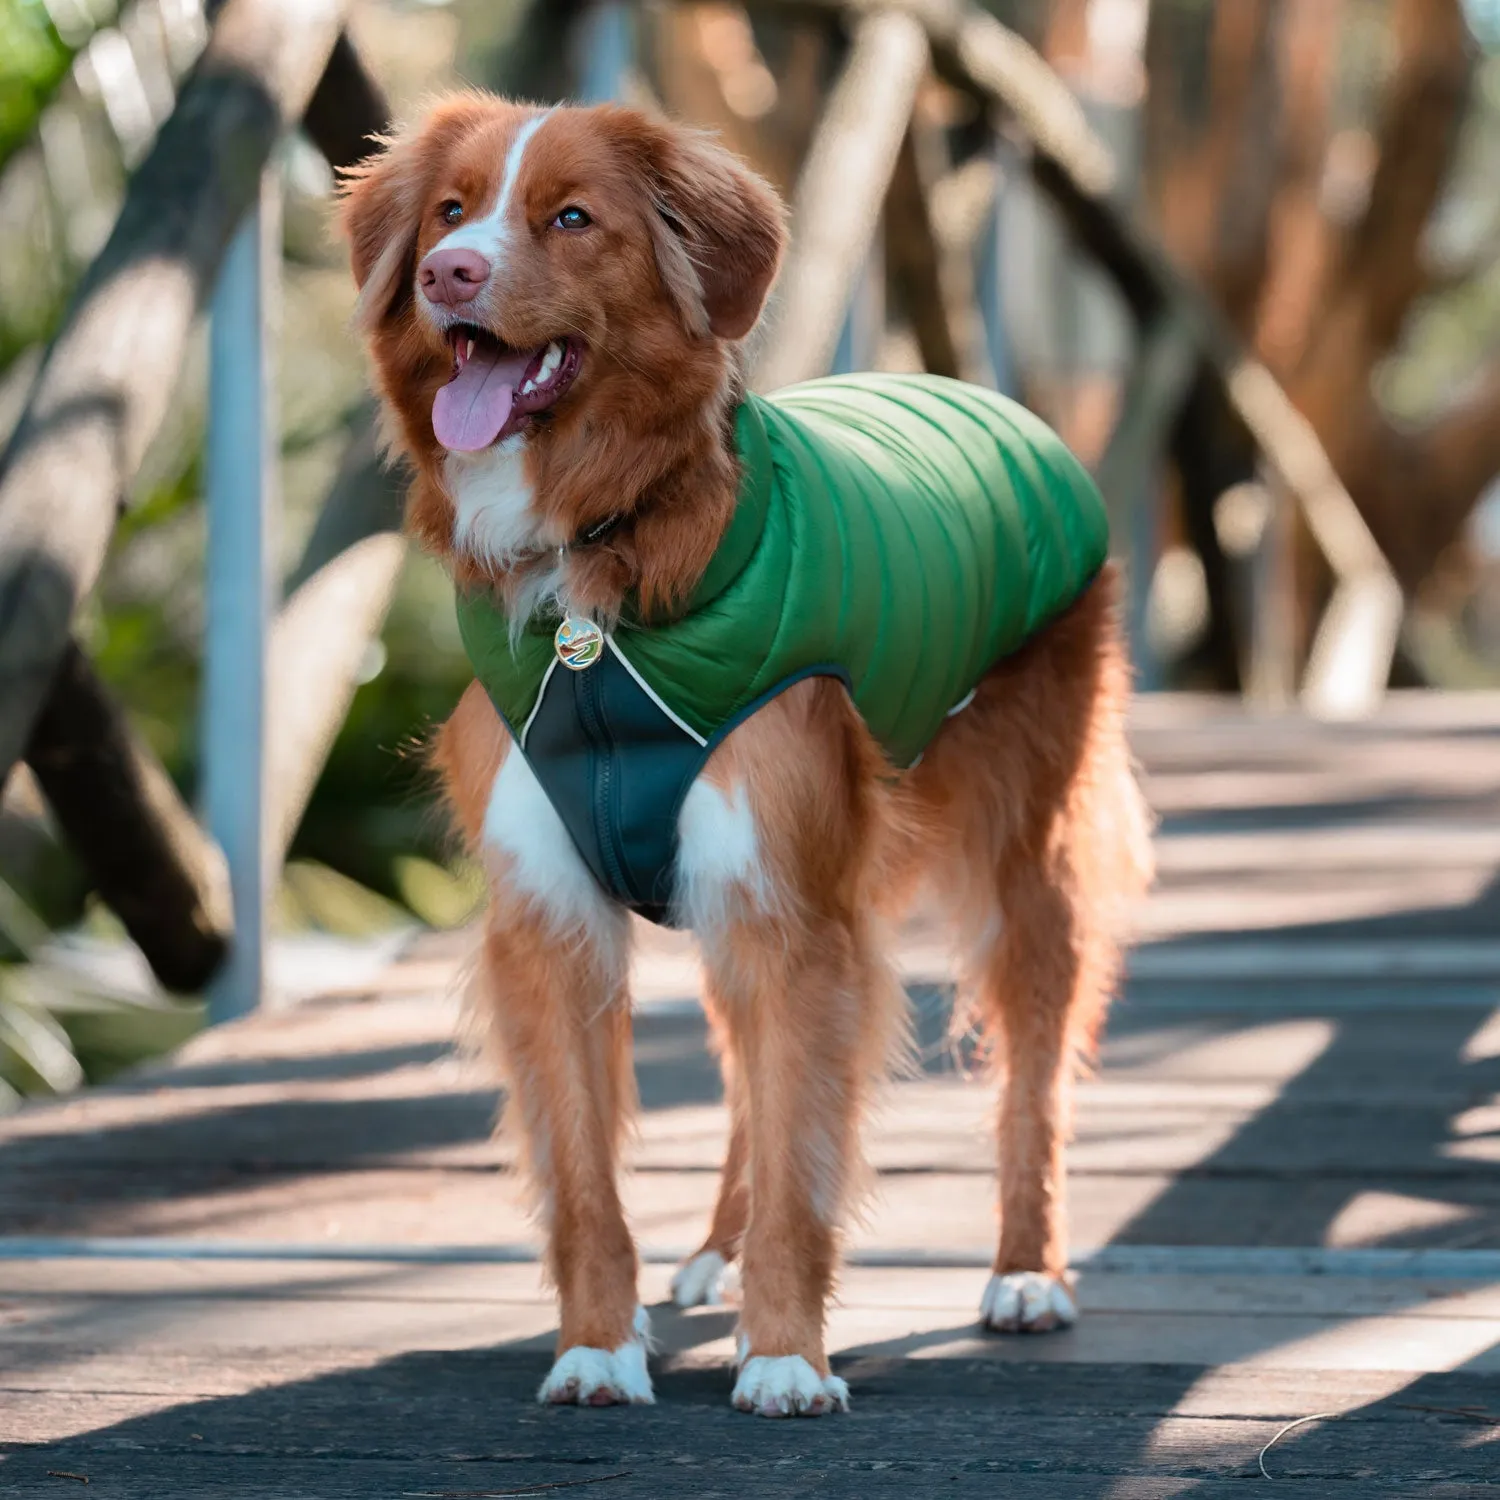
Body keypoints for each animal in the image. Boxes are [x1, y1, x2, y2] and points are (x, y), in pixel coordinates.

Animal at [343, 96, 1146, 1416]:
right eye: (452, 211)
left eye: (572, 218)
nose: (445, 272)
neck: (597, 577)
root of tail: (989, 399)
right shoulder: (555, 916)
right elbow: (587, 1182)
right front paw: (596, 1348)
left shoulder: (796, 910)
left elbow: (802, 1163)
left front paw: (786, 1359)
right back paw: (716, 1249)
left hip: (1031, 857)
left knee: (1034, 1068)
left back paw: (1029, 1272)